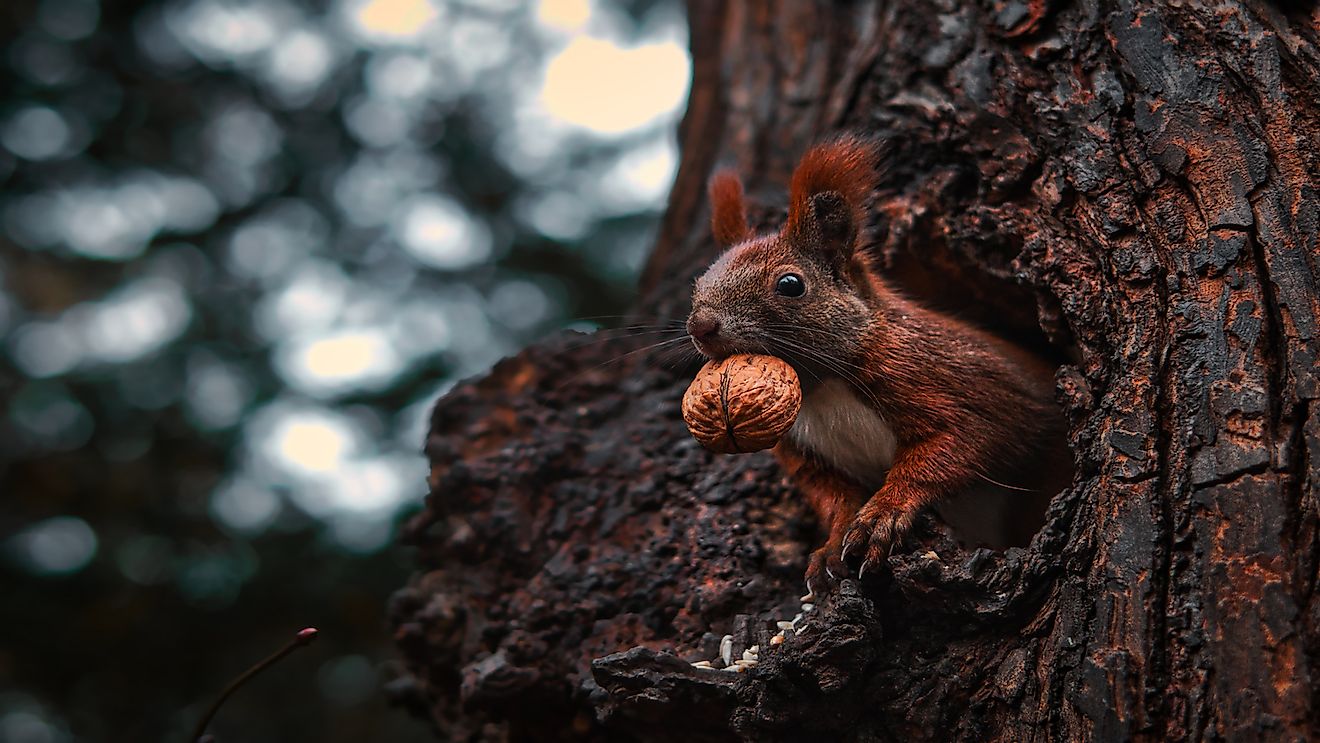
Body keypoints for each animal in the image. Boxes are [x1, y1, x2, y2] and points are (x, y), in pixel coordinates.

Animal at [686, 135, 1066, 599]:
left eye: (790, 285)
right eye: (698, 284)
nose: (700, 325)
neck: (825, 389)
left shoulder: (947, 381)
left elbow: (963, 442)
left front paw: (885, 512)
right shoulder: (801, 451)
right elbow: (833, 496)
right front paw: (833, 545)